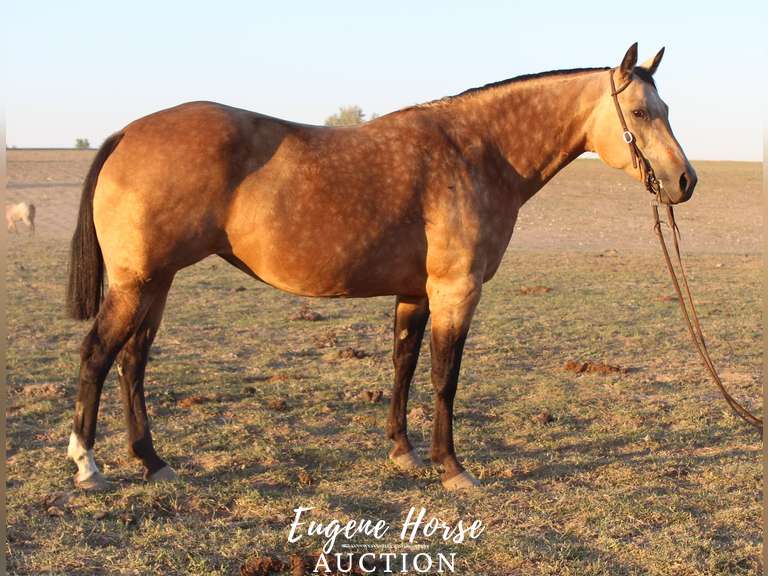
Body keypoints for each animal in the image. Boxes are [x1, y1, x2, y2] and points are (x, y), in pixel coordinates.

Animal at [65, 43, 696, 491]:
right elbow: (444, 377)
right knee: (98, 354)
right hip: (138, 283)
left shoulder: (415, 293)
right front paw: (452, 468)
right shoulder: (456, 291)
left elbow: (404, 365)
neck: (477, 151)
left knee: (133, 360)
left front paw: (403, 452)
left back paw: (152, 461)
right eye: (641, 112)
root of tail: (128, 132)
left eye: (666, 109)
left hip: (158, 282)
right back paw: (87, 464)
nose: (685, 181)